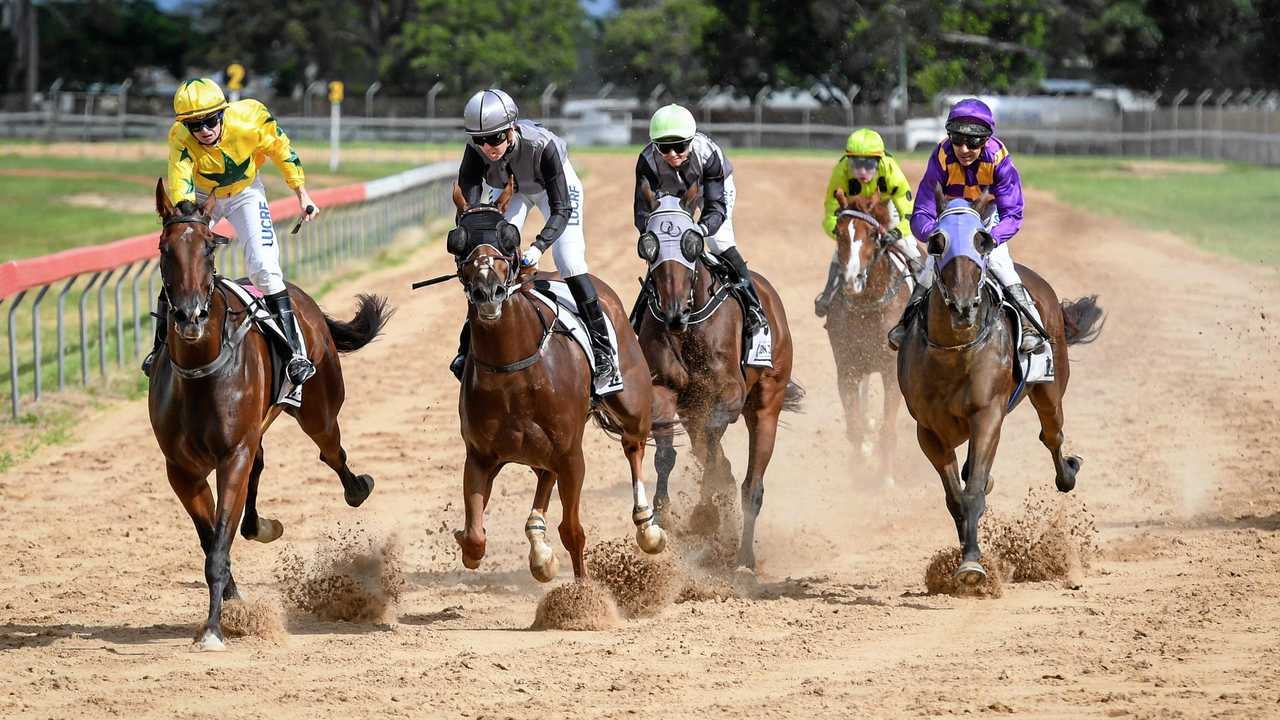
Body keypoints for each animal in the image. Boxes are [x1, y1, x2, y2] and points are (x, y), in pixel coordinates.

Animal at [149, 179, 389, 650]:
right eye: (165, 249)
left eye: (209, 249)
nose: (190, 315)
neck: (200, 370)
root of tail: (300, 296)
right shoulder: (181, 470)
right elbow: (212, 541)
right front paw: (231, 606)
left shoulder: (232, 455)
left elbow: (217, 546)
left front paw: (213, 629)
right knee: (260, 470)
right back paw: (260, 525)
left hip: (319, 409)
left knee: (331, 453)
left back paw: (357, 488)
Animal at [448, 179, 665, 584]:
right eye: (458, 239)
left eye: (507, 237)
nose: (488, 290)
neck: (513, 371)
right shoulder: (480, 456)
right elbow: (473, 538)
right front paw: (536, 554)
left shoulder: (570, 455)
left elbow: (573, 530)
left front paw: (582, 593)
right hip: (537, 452)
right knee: (542, 482)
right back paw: (539, 549)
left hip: (632, 405)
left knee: (634, 448)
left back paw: (648, 528)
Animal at [632, 181, 798, 568]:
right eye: (649, 244)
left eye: (692, 242)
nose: (673, 312)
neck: (690, 327)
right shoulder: (665, 390)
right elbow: (669, 454)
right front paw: (662, 514)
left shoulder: (730, 395)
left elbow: (711, 451)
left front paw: (703, 514)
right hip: (692, 409)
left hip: (767, 402)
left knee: (752, 486)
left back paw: (744, 559)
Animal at [824, 189, 916, 481]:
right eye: (839, 231)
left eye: (873, 234)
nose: (852, 279)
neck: (869, 305)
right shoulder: (848, 369)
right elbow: (854, 428)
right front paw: (860, 463)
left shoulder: (891, 371)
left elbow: (888, 430)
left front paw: (886, 479)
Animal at [901, 190, 1100, 584]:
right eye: (937, 242)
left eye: (982, 240)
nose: (963, 307)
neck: (955, 351)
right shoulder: (927, 430)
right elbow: (956, 497)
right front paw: (965, 556)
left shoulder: (987, 414)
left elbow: (974, 490)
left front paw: (972, 565)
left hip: (1050, 389)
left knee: (1052, 435)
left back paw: (1068, 472)